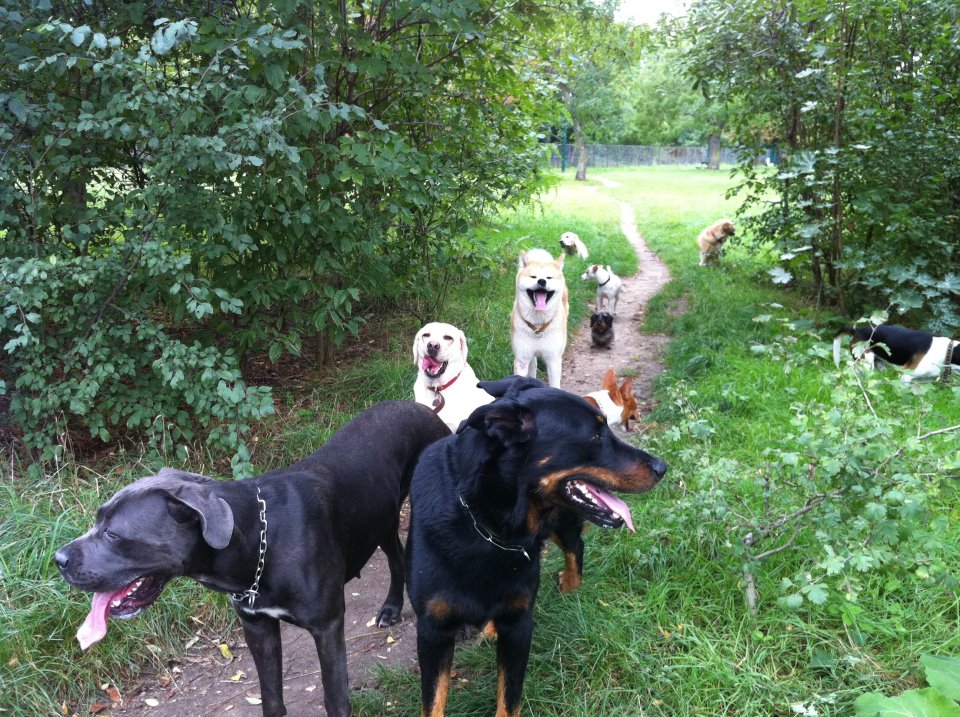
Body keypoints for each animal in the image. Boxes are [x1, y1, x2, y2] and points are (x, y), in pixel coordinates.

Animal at [56, 400, 450, 716]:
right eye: (96, 519)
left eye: (113, 534)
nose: (58, 559)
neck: (258, 541)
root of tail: (425, 409)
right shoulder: (258, 628)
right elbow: (271, 699)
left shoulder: (327, 628)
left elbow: (335, 699)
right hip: (379, 518)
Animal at [406, 374, 668, 716]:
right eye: (596, 434)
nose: (662, 468)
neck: (486, 525)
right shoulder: (432, 631)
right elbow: (434, 701)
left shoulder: (519, 626)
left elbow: (509, 700)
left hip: (563, 523)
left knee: (575, 548)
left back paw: (571, 588)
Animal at [512, 249, 568, 388]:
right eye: (533, 277)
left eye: (549, 277)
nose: (542, 281)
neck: (538, 326)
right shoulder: (521, 359)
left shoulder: (553, 360)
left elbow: (555, 385)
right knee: (533, 365)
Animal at [832, 324, 960, 384]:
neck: (948, 351)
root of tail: (857, 330)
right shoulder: (906, 374)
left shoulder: (924, 380)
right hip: (865, 362)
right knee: (852, 366)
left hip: (878, 365)